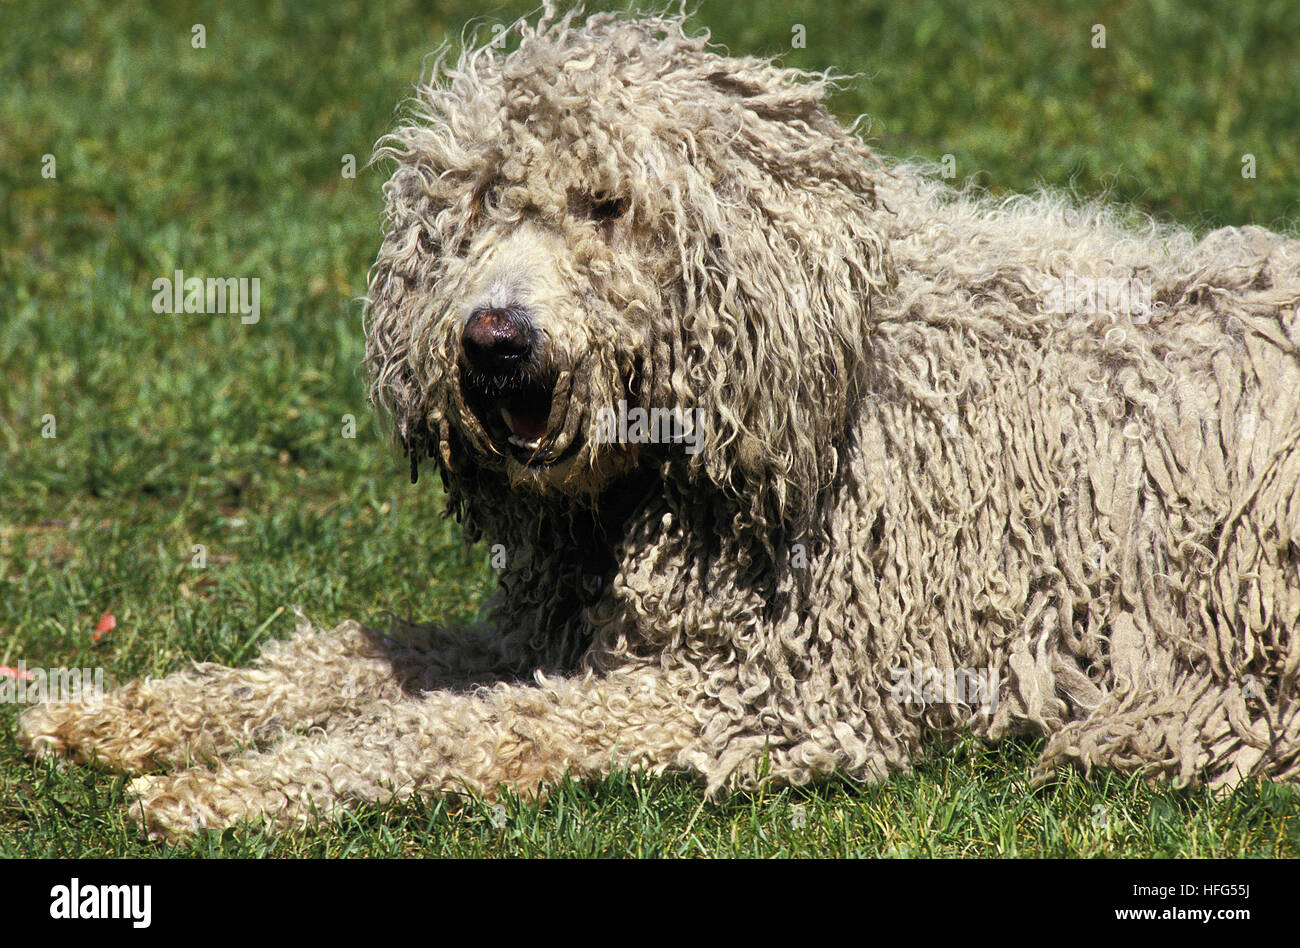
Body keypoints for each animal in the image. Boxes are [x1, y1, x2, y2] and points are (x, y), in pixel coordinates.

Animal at [20, 5, 1300, 837]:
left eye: (607, 207)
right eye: (477, 206)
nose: (492, 340)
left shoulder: (770, 694)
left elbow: (462, 731)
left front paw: (220, 789)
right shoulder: (540, 633)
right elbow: (337, 659)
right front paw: (122, 717)